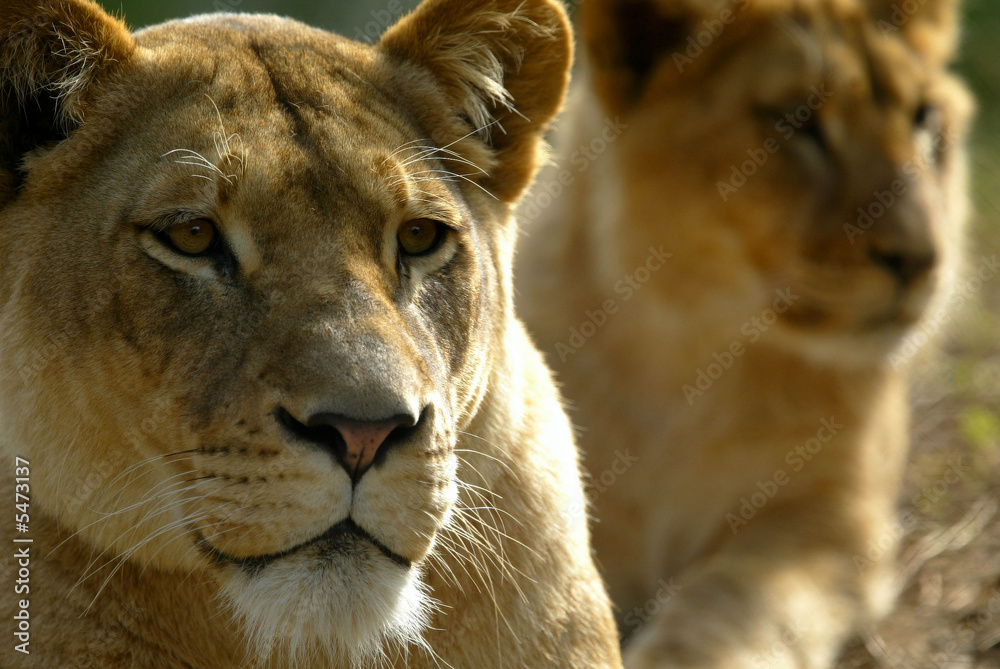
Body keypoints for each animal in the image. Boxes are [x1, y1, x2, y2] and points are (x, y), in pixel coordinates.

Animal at [515, 0, 973, 667]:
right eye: (798, 121)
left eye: (923, 119)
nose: (922, 260)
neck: (683, 354)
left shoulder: (833, 521)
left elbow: (728, 605)